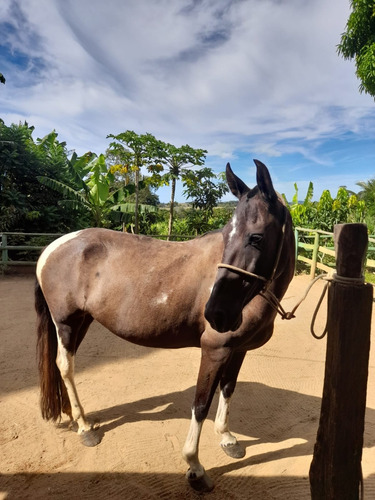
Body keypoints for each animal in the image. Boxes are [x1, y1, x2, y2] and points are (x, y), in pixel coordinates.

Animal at [35, 160, 296, 492]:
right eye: (227, 235)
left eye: (256, 237)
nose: (216, 314)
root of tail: (53, 247)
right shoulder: (215, 350)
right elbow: (200, 403)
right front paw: (195, 467)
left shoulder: (238, 350)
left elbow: (228, 389)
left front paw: (227, 438)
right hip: (66, 323)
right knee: (66, 366)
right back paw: (84, 428)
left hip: (82, 321)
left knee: (62, 366)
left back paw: (75, 417)